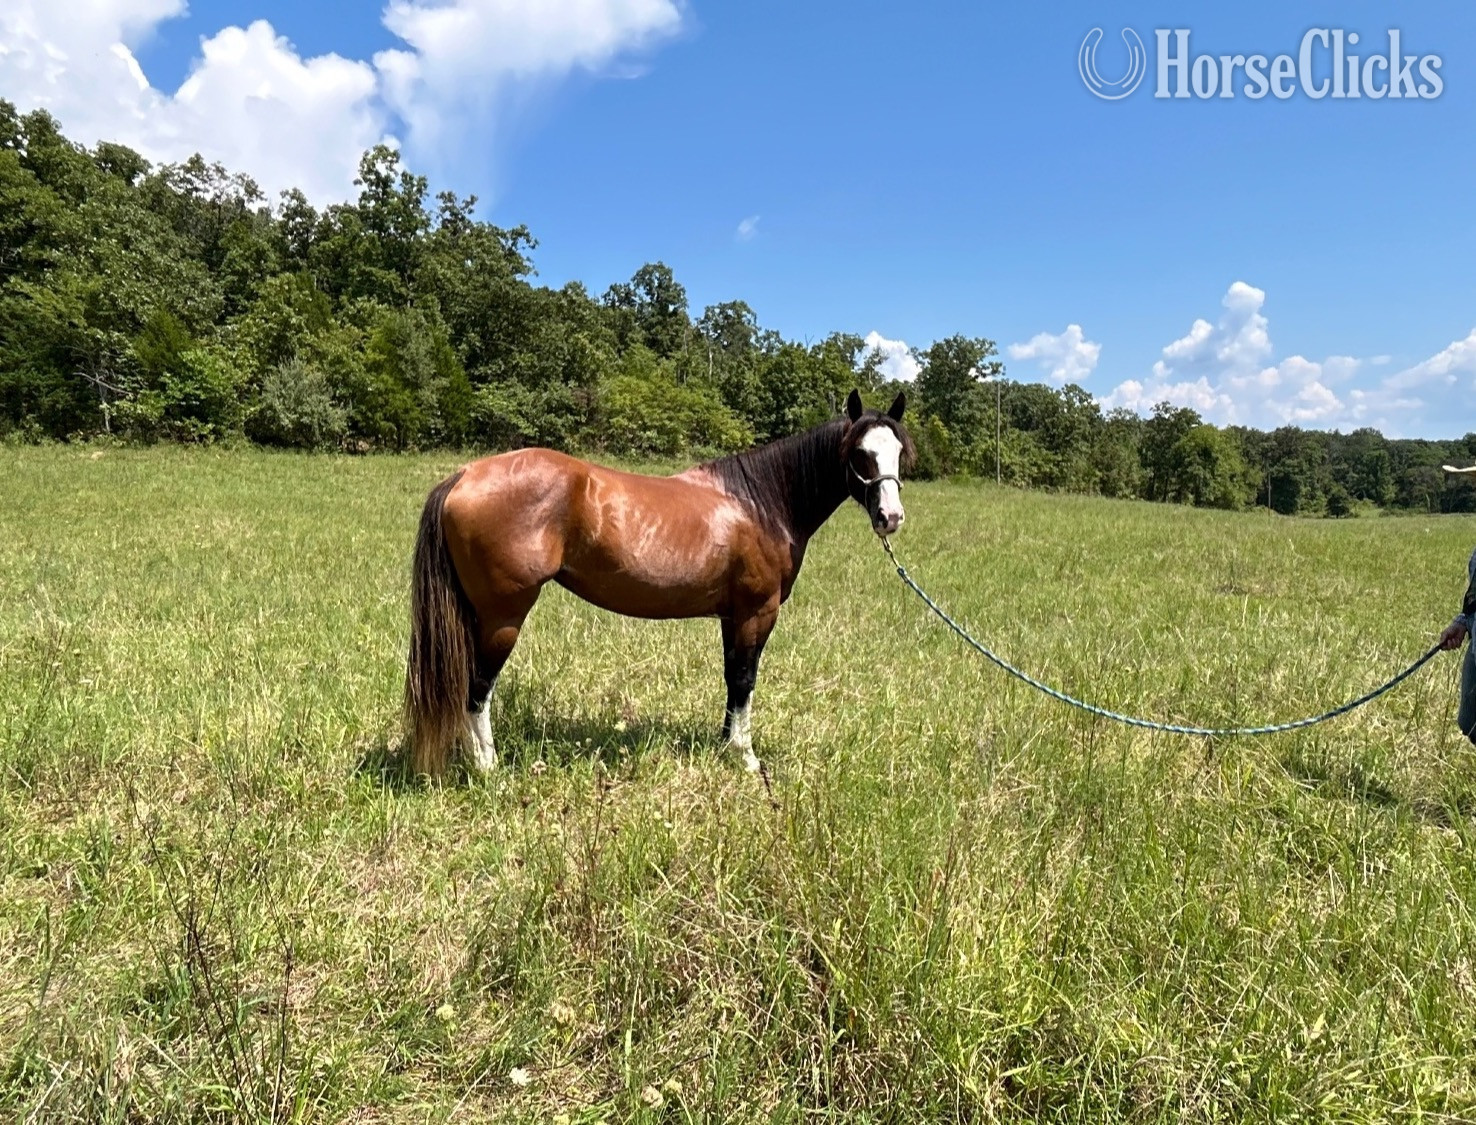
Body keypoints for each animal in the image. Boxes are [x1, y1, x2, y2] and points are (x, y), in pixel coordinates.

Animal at [403, 389, 914, 776]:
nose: (890, 518)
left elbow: (731, 677)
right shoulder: (757, 612)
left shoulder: (732, 616)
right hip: (503, 618)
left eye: (897, 453)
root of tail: (463, 475)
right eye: (860, 454)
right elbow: (745, 679)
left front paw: (725, 745)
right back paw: (489, 769)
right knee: (476, 688)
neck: (759, 501)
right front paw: (746, 757)